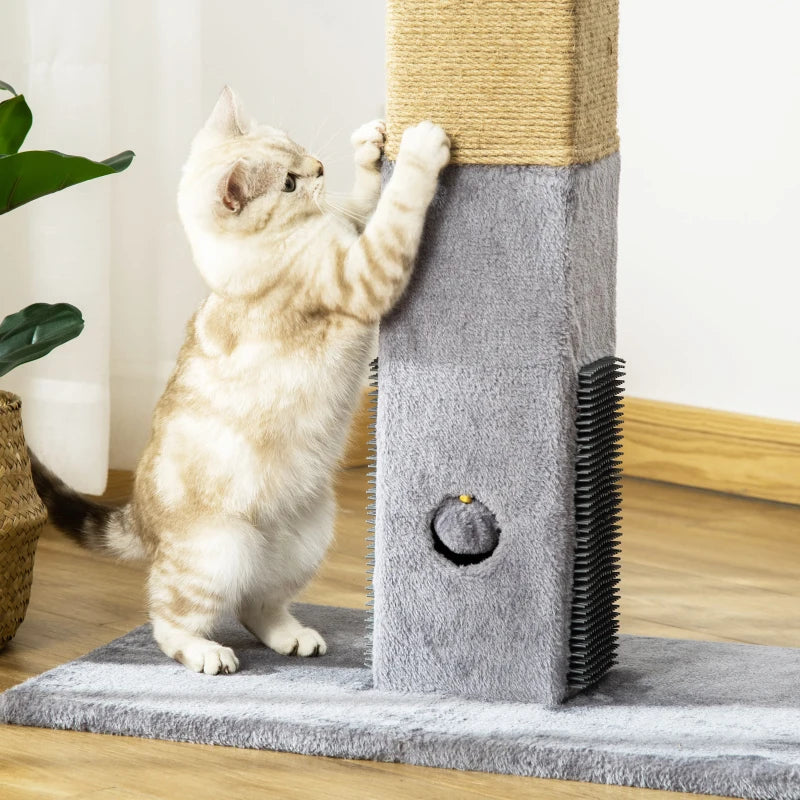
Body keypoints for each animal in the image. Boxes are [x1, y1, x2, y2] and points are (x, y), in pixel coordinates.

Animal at [32, 86, 450, 676]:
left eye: (297, 150)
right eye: (288, 183)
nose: (318, 167)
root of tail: (138, 515)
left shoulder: (348, 225)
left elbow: (365, 198)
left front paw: (369, 147)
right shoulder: (366, 273)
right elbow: (399, 208)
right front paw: (420, 147)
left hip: (305, 539)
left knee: (258, 605)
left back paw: (292, 637)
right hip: (220, 553)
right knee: (167, 614)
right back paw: (206, 652)